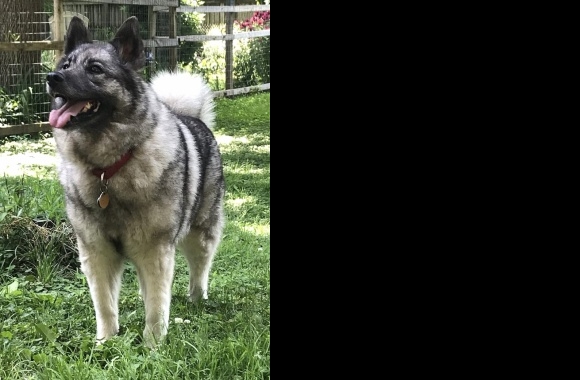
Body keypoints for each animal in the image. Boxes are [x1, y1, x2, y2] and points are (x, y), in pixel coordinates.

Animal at [45, 15, 225, 348]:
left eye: (95, 69)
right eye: (66, 65)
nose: (52, 77)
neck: (109, 169)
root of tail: (191, 117)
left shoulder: (154, 252)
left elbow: (156, 306)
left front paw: (153, 346)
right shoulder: (97, 253)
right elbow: (105, 304)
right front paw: (105, 341)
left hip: (200, 234)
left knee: (199, 269)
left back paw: (197, 300)